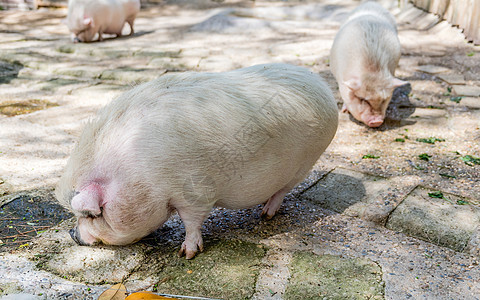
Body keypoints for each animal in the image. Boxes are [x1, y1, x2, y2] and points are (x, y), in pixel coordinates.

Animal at [55, 63, 338, 260]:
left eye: (93, 214)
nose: (71, 234)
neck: (139, 174)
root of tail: (323, 88)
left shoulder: (196, 192)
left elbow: (191, 222)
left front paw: (186, 255)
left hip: (306, 163)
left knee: (282, 190)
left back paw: (265, 214)